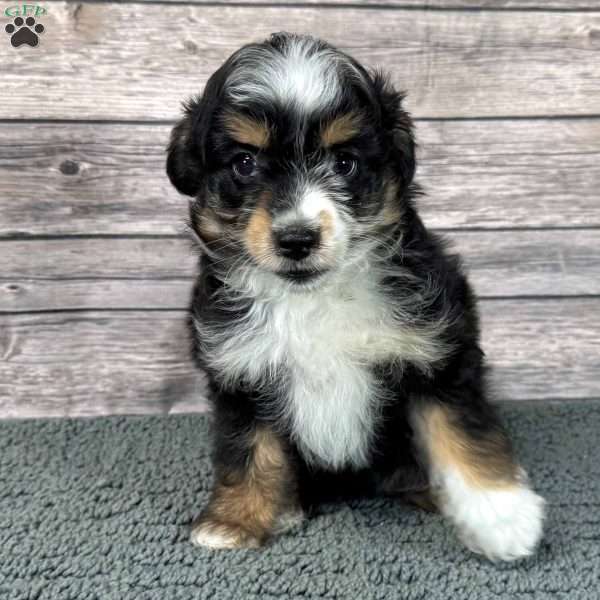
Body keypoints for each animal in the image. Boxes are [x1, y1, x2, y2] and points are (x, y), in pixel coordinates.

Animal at [166, 30, 548, 560]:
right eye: (244, 163)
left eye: (344, 163)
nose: (297, 239)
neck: (315, 297)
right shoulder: (241, 370)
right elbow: (249, 448)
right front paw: (234, 520)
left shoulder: (436, 352)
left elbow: (462, 429)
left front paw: (502, 516)